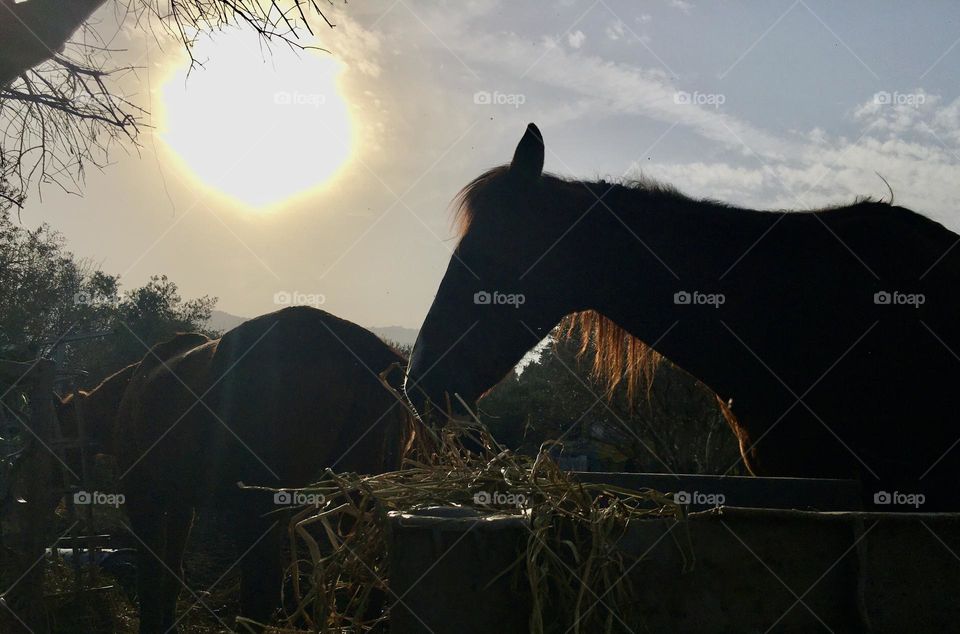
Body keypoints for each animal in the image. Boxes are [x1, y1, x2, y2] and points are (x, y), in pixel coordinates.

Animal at [58, 306, 411, 632]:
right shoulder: (182, 505)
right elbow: (172, 573)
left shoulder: (144, 497)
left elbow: (151, 573)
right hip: (359, 499)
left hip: (260, 507)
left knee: (261, 587)